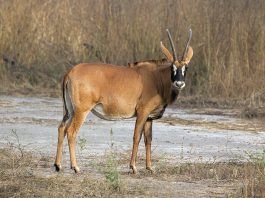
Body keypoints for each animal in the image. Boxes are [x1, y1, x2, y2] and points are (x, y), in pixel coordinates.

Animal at [54, 29, 193, 173]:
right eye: (172, 67)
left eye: (186, 68)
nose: (179, 83)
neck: (157, 78)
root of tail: (70, 73)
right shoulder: (142, 113)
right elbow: (137, 137)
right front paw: (133, 167)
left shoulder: (149, 117)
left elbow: (148, 139)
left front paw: (149, 167)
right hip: (82, 110)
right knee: (71, 132)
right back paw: (75, 167)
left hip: (69, 111)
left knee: (62, 128)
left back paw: (58, 165)